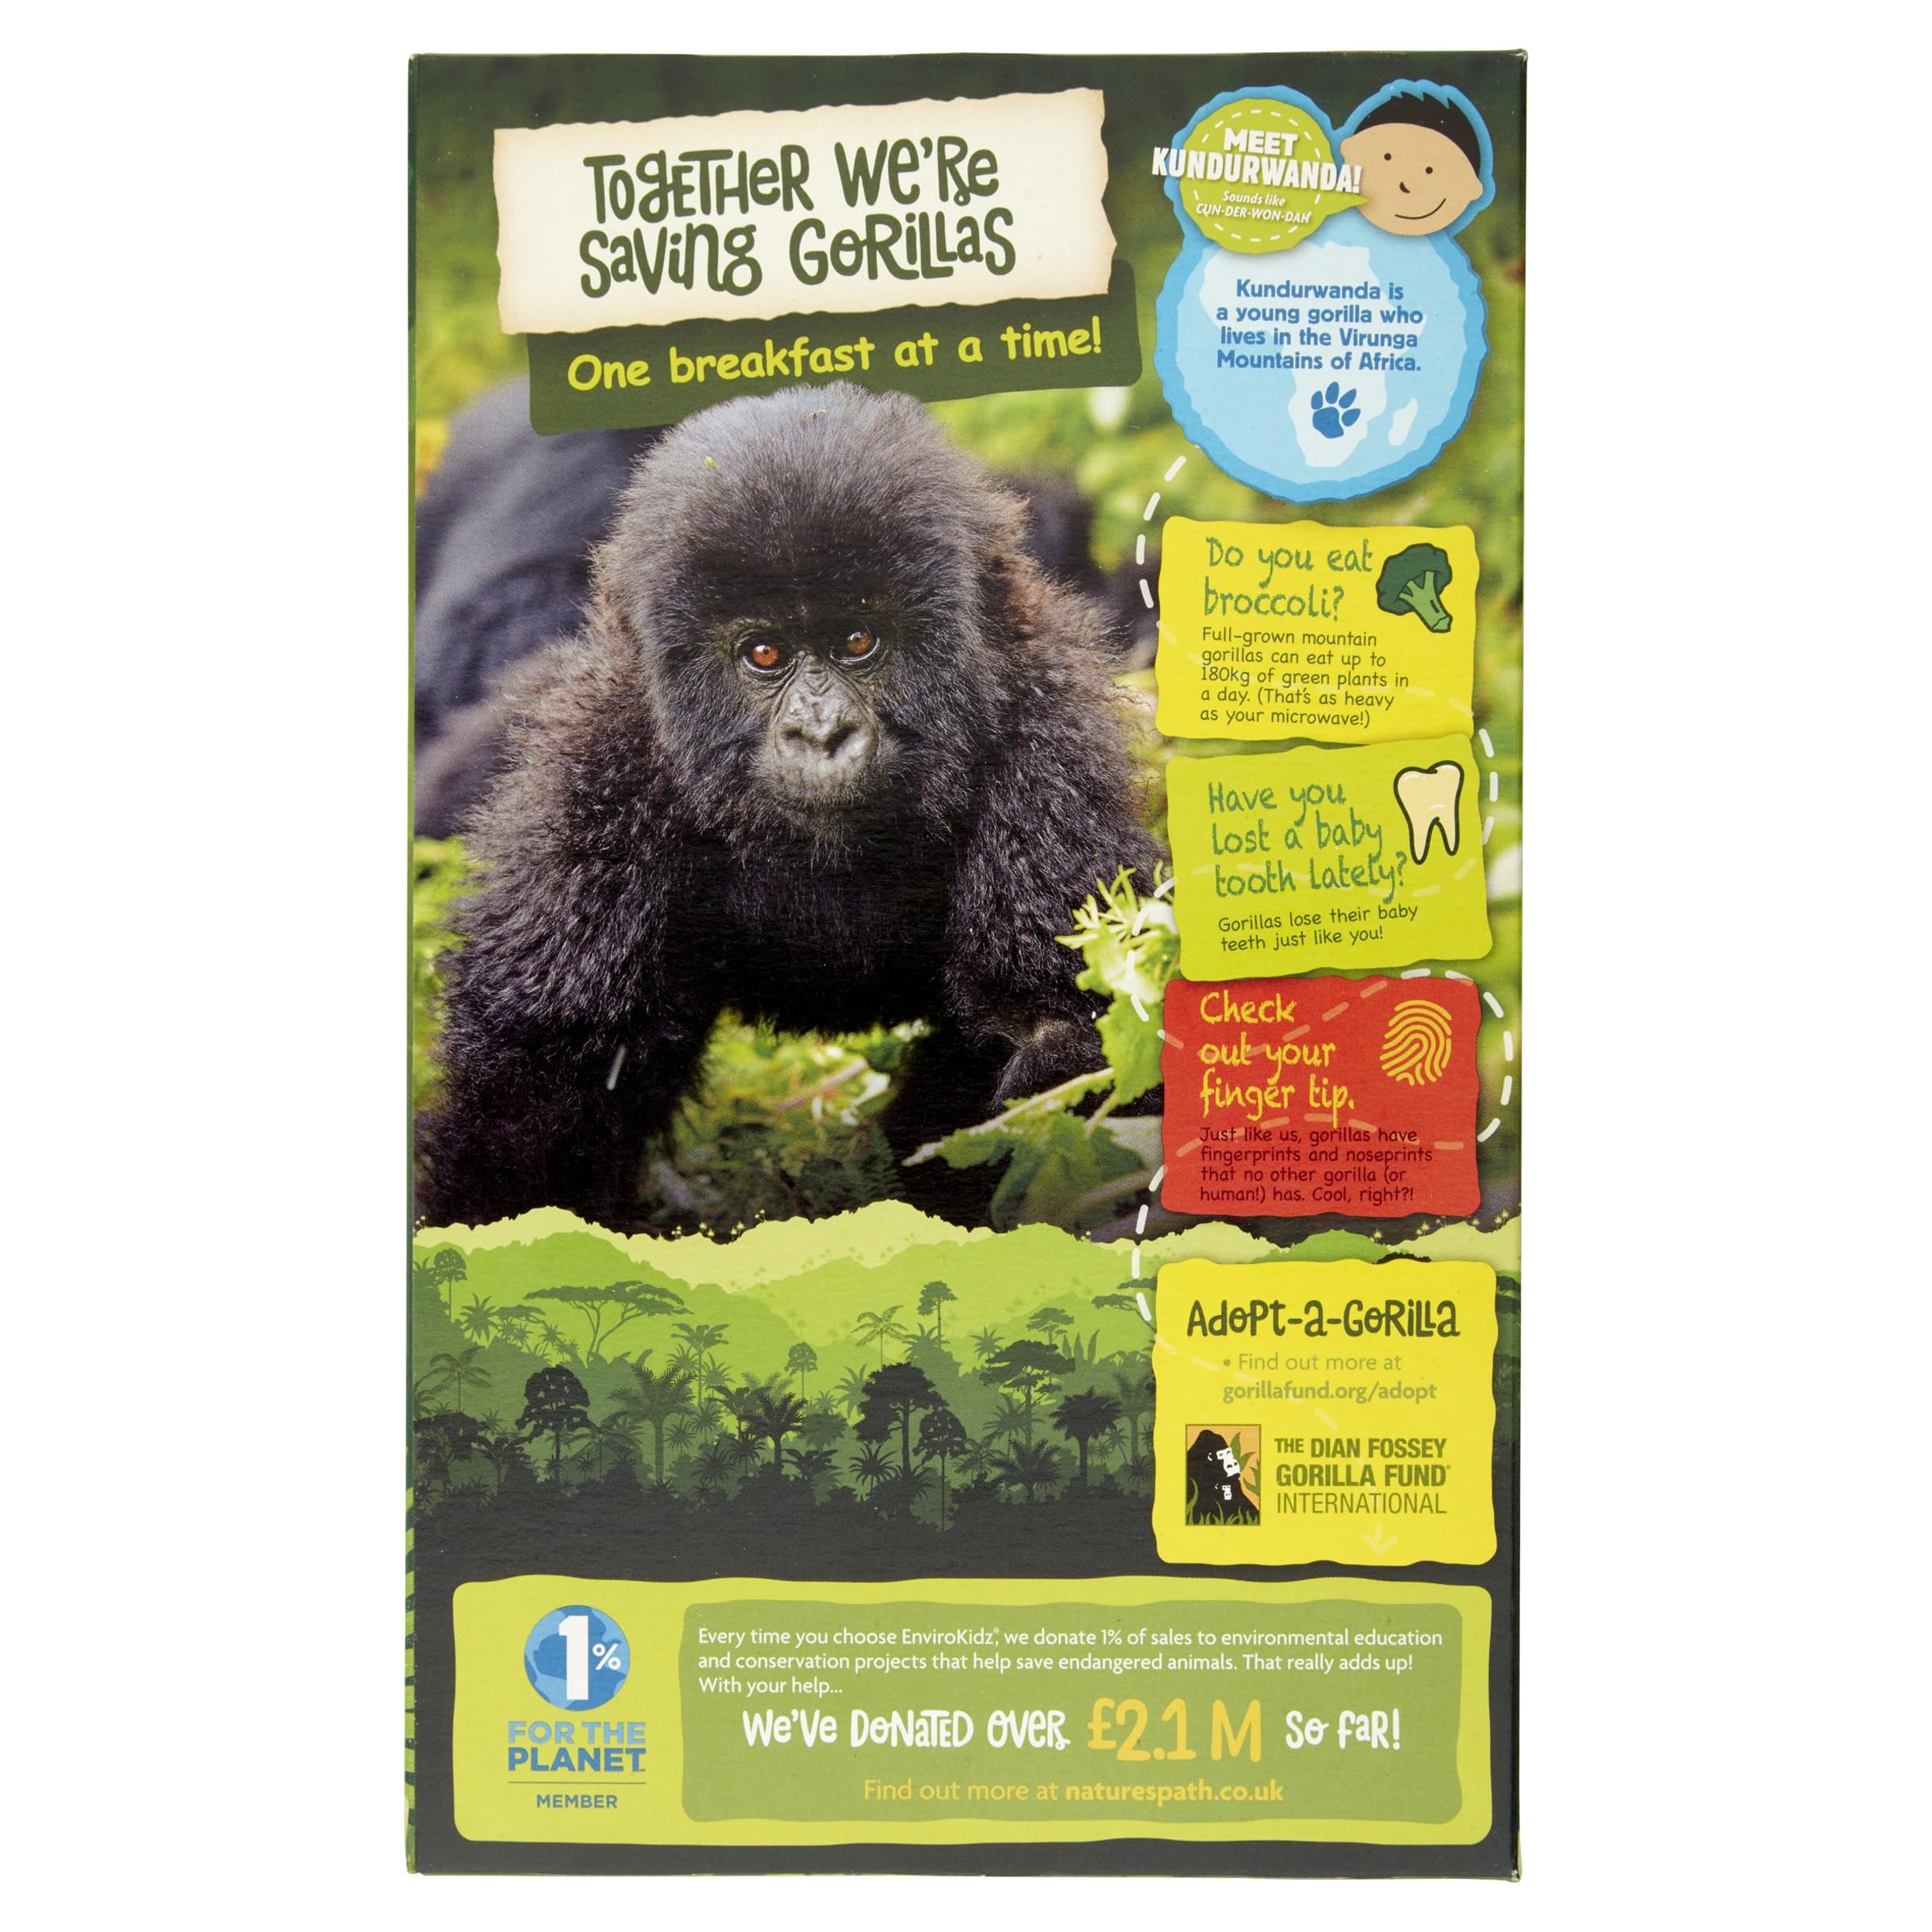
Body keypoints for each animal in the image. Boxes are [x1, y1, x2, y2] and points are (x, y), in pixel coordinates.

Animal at [416, 383, 1157, 1231]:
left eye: (859, 640)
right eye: (764, 653)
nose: (820, 734)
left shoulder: (1046, 742)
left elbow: (1058, 1034)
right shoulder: (598, 774)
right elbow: (540, 1088)